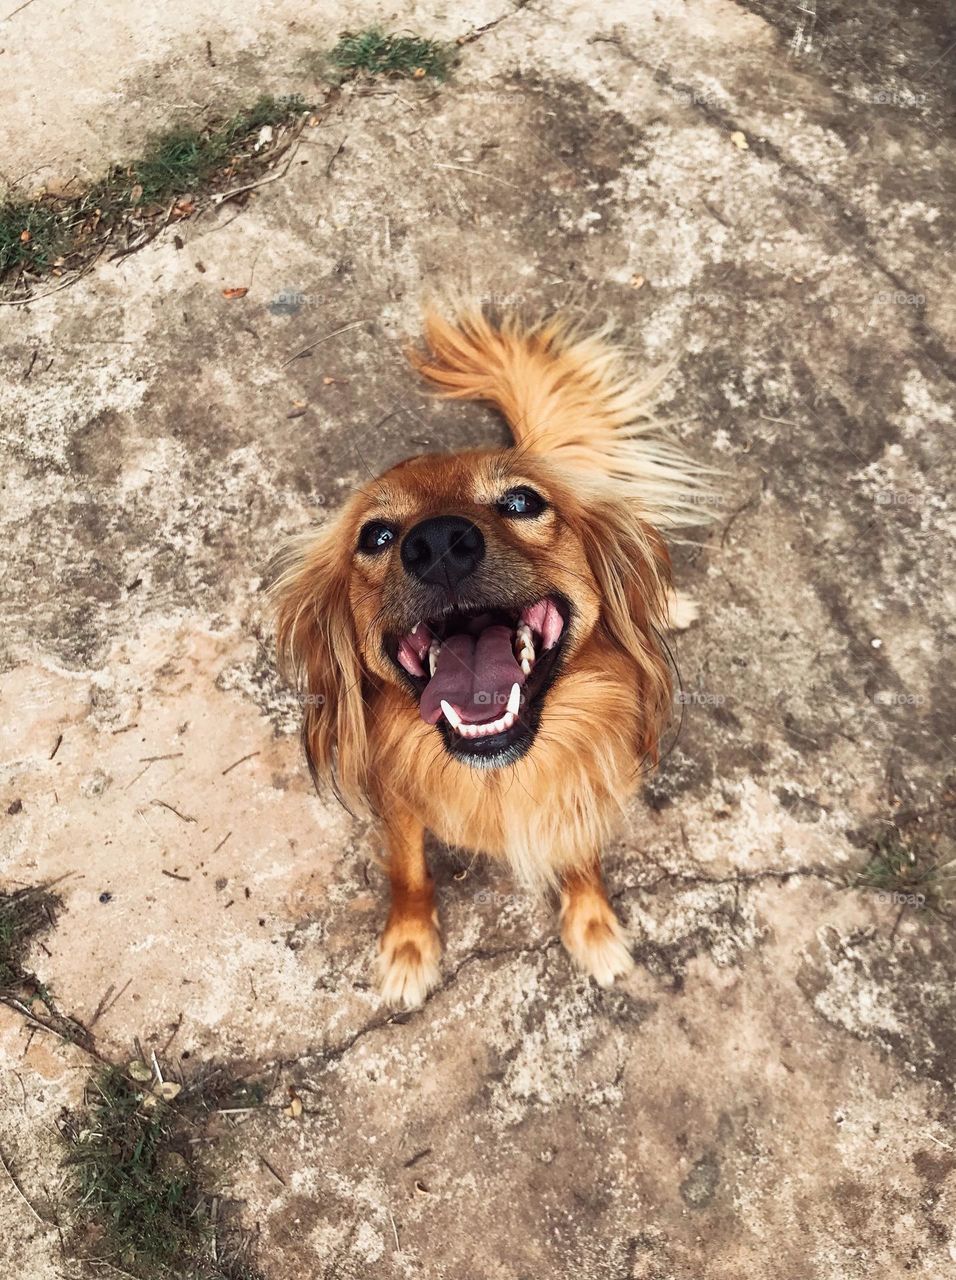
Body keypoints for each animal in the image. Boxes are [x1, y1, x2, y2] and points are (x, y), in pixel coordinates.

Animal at [272, 309, 706, 1008]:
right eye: (376, 535)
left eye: (522, 502)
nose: (439, 544)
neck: (504, 775)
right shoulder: (399, 800)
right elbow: (409, 871)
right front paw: (409, 947)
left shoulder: (587, 778)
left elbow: (581, 854)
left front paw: (593, 926)